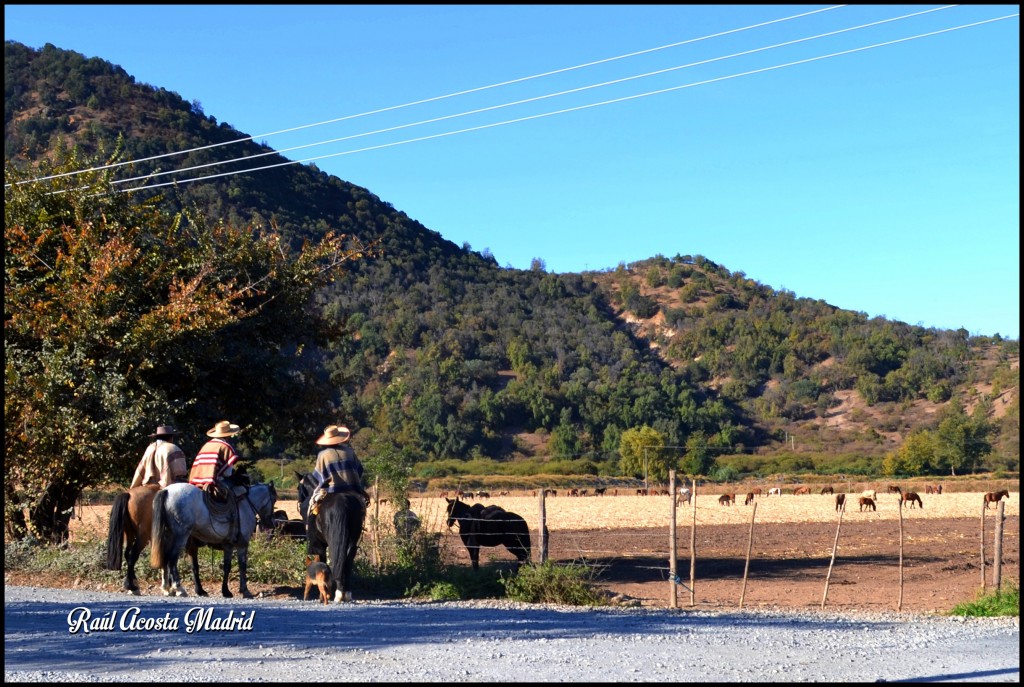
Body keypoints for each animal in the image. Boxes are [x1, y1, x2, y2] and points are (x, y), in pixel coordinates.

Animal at [148, 481, 276, 597]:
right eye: (274, 499)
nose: (271, 523)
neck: (246, 506)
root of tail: (167, 490)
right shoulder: (242, 544)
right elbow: (241, 566)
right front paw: (243, 590)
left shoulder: (228, 545)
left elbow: (227, 567)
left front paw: (226, 591)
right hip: (180, 537)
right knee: (172, 560)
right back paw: (179, 589)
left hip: (169, 536)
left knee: (165, 558)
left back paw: (167, 589)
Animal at [299, 473, 366, 602]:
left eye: (298, 488)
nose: (299, 502)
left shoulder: (318, 545)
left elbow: (321, 560)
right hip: (351, 540)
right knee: (347, 561)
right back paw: (346, 593)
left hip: (332, 541)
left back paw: (337, 594)